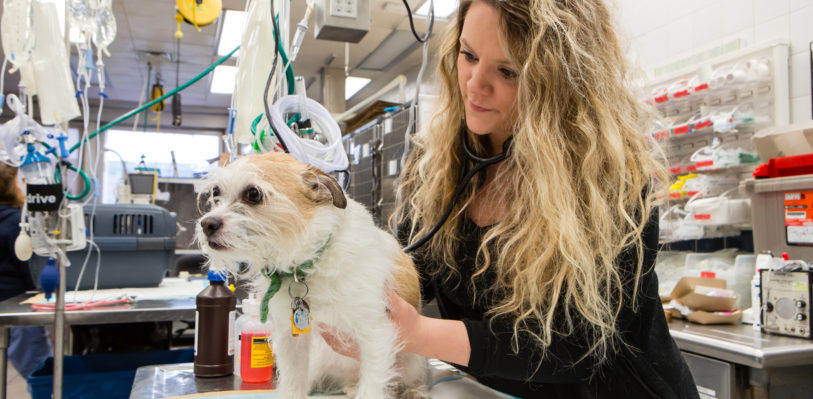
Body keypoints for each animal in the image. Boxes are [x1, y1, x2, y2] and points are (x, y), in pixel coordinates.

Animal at [196, 152, 428, 398]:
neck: (307, 266)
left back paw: (413, 390)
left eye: (253, 194)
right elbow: (293, 382)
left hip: (413, 362)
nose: (206, 224)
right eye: (216, 193)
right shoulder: (291, 339)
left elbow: (371, 387)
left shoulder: (375, 333)